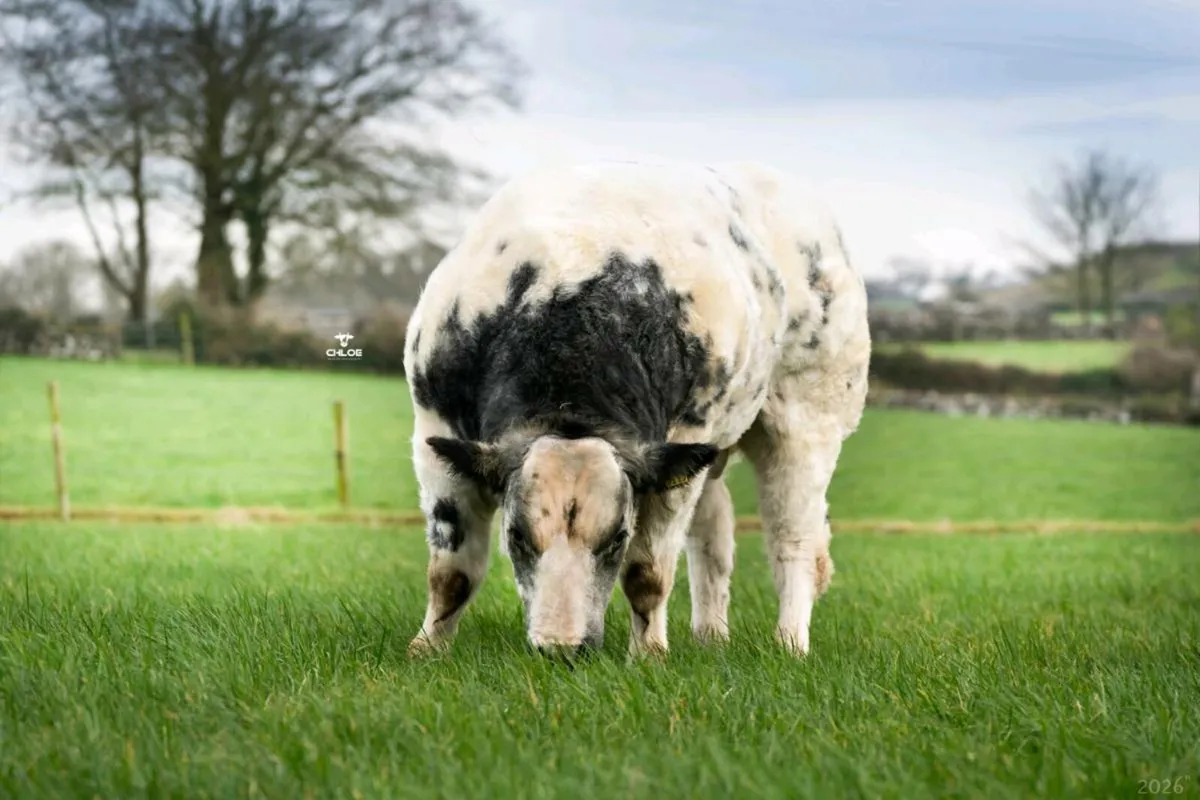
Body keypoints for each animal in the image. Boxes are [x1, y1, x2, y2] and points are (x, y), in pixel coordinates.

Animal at [402, 160, 871, 660]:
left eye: (617, 539)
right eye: (516, 536)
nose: (561, 647)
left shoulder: (678, 447)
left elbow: (648, 574)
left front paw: (647, 656)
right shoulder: (436, 436)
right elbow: (451, 573)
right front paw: (426, 650)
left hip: (806, 419)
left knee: (794, 539)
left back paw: (789, 644)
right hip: (709, 454)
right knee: (714, 535)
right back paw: (711, 638)